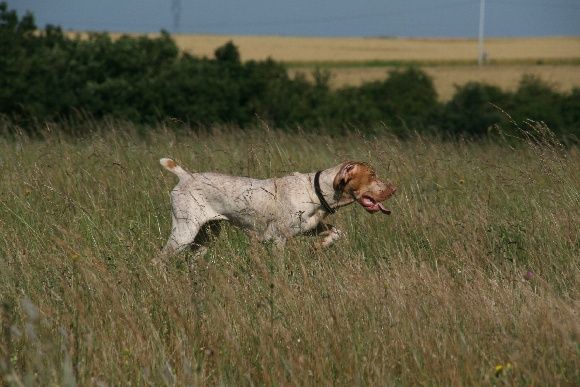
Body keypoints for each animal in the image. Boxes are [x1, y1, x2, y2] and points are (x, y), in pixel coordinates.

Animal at [157, 159, 394, 260]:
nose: (393, 188)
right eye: (372, 175)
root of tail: (186, 176)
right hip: (184, 233)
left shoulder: (311, 228)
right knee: (158, 260)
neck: (315, 192)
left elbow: (337, 232)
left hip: (205, 238)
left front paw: (319, 247)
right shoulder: (278, 238)